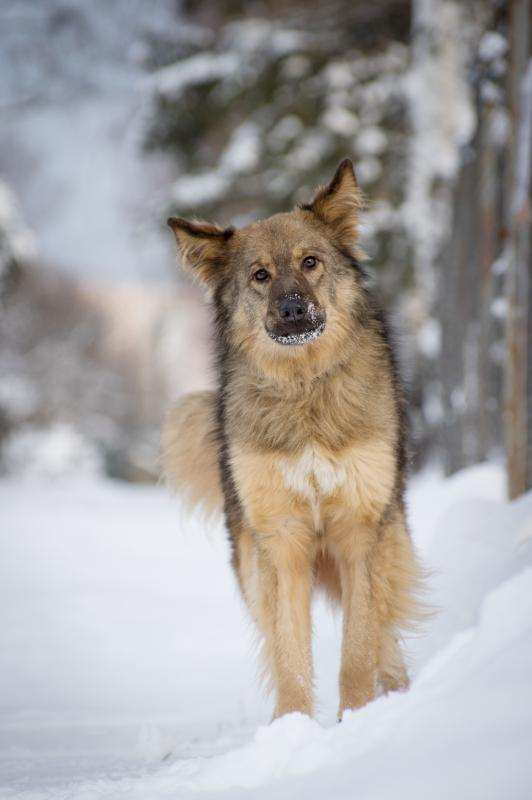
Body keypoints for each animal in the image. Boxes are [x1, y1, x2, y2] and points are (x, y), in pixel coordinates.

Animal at [162, 156, 424, 720]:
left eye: (310, 262)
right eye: (260, 275)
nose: (292, 310)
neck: (305, 389)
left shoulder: (359, 527)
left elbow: (359, 646)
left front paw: (356, 720)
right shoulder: (280, 540)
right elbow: (290, 655)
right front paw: (292, 728)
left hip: (389, 535)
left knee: (386, 632)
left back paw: (397, 694)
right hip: (251, 560)